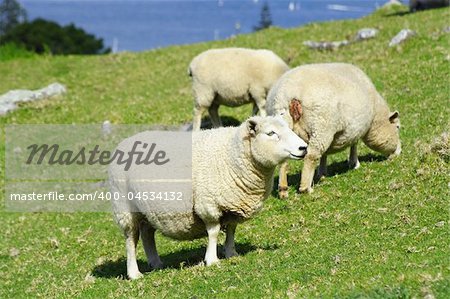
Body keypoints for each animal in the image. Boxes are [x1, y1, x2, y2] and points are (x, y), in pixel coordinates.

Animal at [109, 116, 308, 280]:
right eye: (271, 133)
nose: (303, 148)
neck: (232, 154)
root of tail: (123, 143)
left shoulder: (233, 205)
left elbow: (232, 230)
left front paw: (231, 253)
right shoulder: (209, 205)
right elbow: (213, 232)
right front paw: (212, 260)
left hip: (147, 209)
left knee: (147, 234)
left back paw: (156, 263)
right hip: (125, 207)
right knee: (131, 240)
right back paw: (134, 273)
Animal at [266, 63, 402, 199]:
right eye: (397, 127)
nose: (399, 151)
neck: (375, 114)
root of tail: (290, 94)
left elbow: (326, 153)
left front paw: (322, 173)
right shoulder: (356, 128)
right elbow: (354, 144)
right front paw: (354, 163)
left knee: (285, 157)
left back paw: (283, 190)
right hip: (322, 126)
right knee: (311, 156)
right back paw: (306, 188)